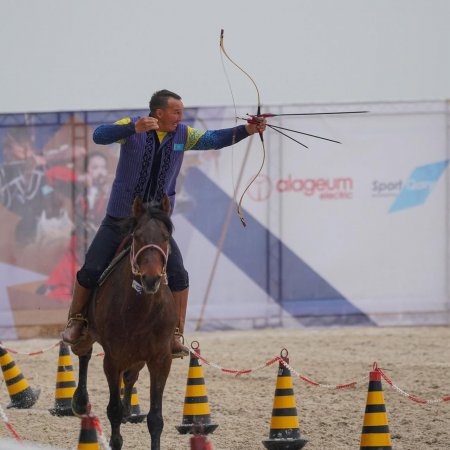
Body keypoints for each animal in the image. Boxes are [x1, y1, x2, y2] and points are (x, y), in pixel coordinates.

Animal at [71, 195, 177, 450]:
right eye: (137, 236)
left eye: (165, 237)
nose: (151, 279)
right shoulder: (113, 359)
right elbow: (114, 410)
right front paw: (116, 439)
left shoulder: (161, 359)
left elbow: (155, 418)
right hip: (90, 335)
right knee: (84, 354)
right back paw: (81, 401)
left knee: (131, 376)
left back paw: (130, 407)